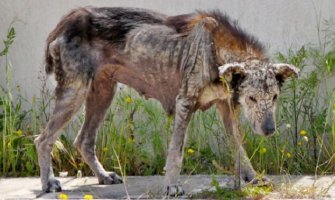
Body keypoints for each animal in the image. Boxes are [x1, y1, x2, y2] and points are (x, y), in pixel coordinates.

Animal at [35, 6, 300, 195]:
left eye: (274, 97)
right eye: (252, 98)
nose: (269, 131)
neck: (215, 48)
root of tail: (68, 20)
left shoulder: (227, 107)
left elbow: (239, 147)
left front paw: (253, 177)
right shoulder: (185, 102)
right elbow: (176, 151)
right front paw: (172, 186)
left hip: (103, 94)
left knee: (84, 140)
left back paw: (103, 176)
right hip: (75, 92)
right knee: (43, 139)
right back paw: (49, 183)